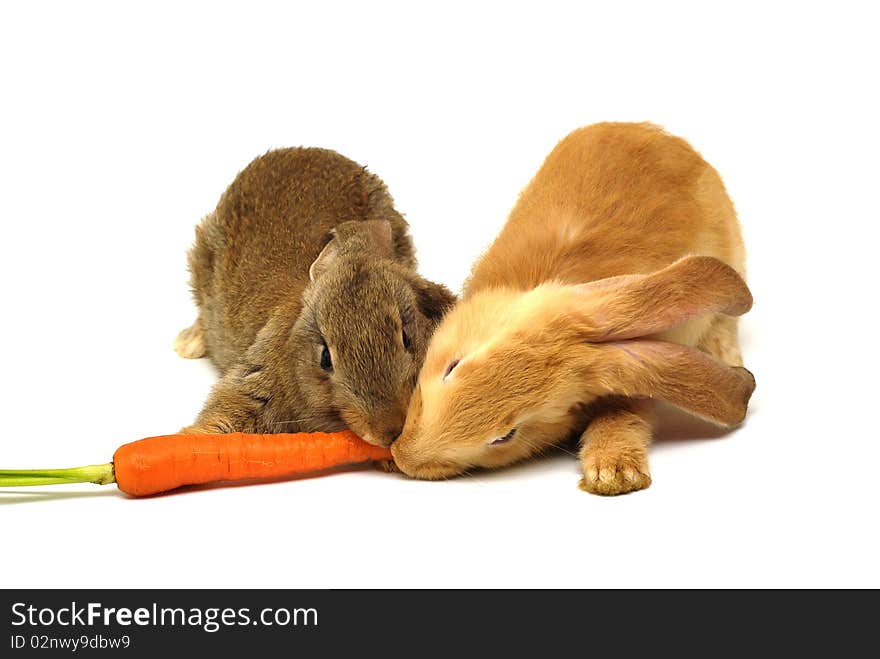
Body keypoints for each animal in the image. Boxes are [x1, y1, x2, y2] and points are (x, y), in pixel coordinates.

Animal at [392, 124, 756, 496]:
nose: (401, 457)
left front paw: (614, 474)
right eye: (453, 366)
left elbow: (625, 413)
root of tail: (666, 137)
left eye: (506, 436)